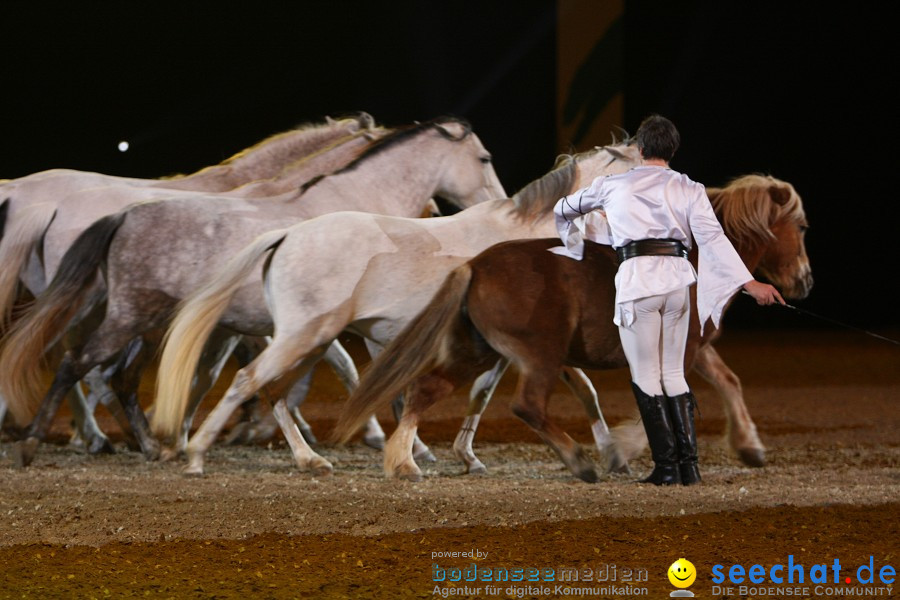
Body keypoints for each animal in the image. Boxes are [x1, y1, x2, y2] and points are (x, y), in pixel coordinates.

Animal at [0, 115, 506, 466]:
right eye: (484, 158)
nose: (499, 206)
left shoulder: (253, 329)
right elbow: (349, 372)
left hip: (137, 321)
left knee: (107, 376)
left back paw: (139, 443)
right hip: (118, 316)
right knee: (77, 366)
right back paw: (50, 440)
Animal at [334, 175, 812, 482]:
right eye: (802, 226)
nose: (805, 282)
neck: (684, 255)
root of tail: (477, 265)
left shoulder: (698, 347)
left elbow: (728, 383)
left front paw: (750, 447)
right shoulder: (681, 349)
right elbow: (671, 396)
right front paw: (621, 451)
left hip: (478, 351)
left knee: (425, 390)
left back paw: (404, 464)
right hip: (539, 356)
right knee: (527, 405)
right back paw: (578, 461)